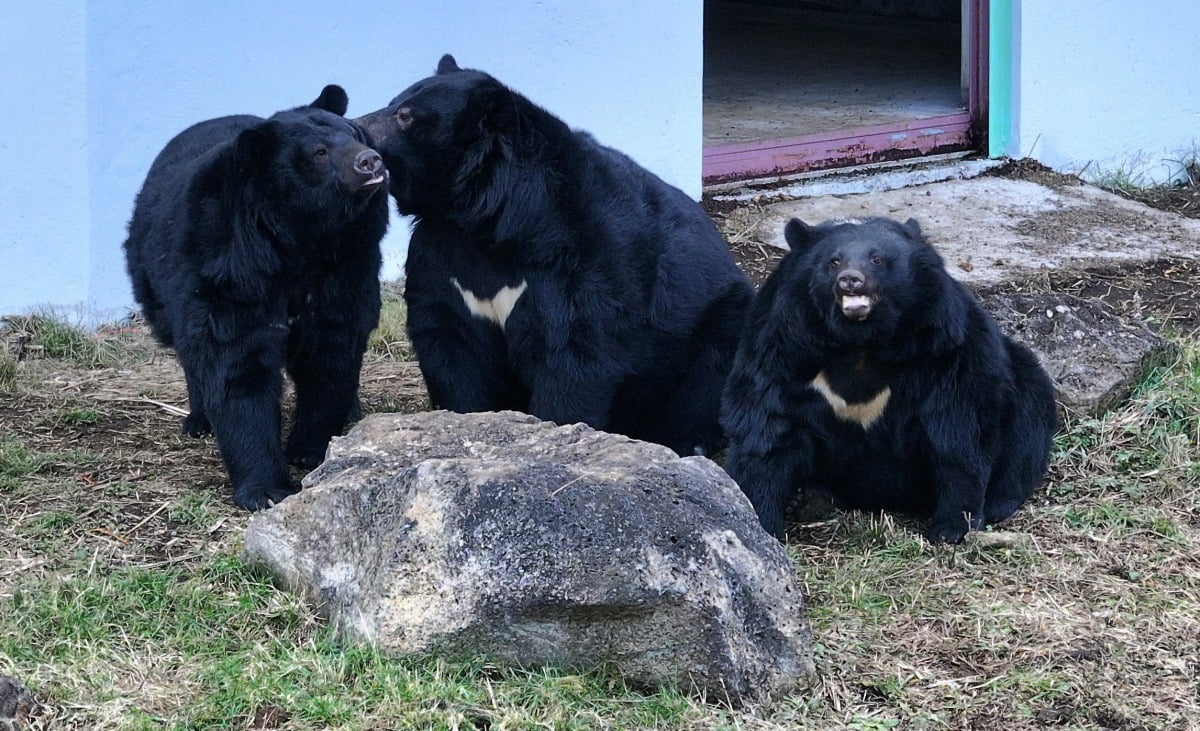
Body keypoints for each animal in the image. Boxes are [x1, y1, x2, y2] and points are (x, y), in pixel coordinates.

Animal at [121, 87, 386, 506]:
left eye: (353, 133)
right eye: (319, 152)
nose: (369, 161)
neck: (302, 237)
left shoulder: (348, 262)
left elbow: (331, 348)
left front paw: (309, 449)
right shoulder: (229, 262)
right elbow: (238, 361)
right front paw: (265, 489)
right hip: (156, 279)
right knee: (189, 350)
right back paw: (198, 420)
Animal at [715, 216, 1056, 542]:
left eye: (877, 259)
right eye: (834, 261)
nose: (850, 280)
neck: (861, 339)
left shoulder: (943, 344)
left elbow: (958, 427)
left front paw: (952, 528)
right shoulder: (783, 342)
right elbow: (766, 424)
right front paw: (757, 518)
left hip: (1023, 382)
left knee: (1028, 417)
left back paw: (998, 502)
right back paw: (808, 499)